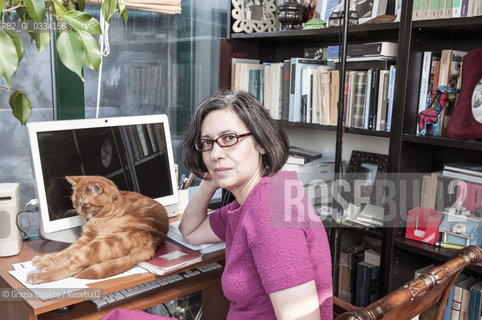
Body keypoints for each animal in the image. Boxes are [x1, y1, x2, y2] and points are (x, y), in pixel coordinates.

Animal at [27, 176, 169, 284]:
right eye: (75, 202)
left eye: (85, 204)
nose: (79, 212)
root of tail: (153, 245)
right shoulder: (85, 238)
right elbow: (64, 253)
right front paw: (44, 260)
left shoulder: (89, 238)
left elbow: (68, 255)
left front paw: (44, 264)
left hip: (99, 244)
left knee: (73, 266)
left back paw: (37, 276)